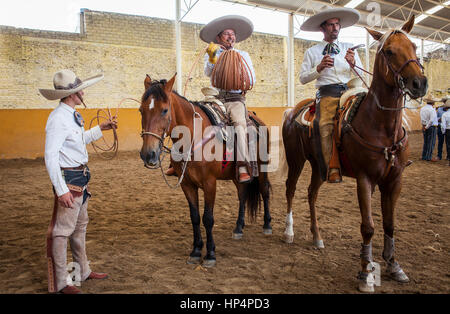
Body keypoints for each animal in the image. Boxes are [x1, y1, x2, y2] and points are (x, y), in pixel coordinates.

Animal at [139, 74, 272, 268]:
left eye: (164, 110)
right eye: (141, 110)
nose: (148, 154)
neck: (193, 137)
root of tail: (257, 120)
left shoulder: (210, 183)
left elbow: (208, 218)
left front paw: (210, 254)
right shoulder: (187, 184)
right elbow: (195, 217)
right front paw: (195, 251)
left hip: (262, 168)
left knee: (265, 191)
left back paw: (267, 225)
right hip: (237, 175)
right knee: (243, 194)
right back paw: (238, 228)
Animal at [284, 15, 428, 292]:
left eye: (414, 46)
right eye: (389, 51)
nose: (419, 83)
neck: (381, 126)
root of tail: (292, 111)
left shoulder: (394, 180)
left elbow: (390, 223)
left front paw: (394, 266)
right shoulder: (365, 179)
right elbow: (368, 227)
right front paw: (366, 274)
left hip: (320, 165)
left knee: (311, 193)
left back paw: (317, 237)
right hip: (295, 161)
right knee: (291, 189)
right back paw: (288, 232)